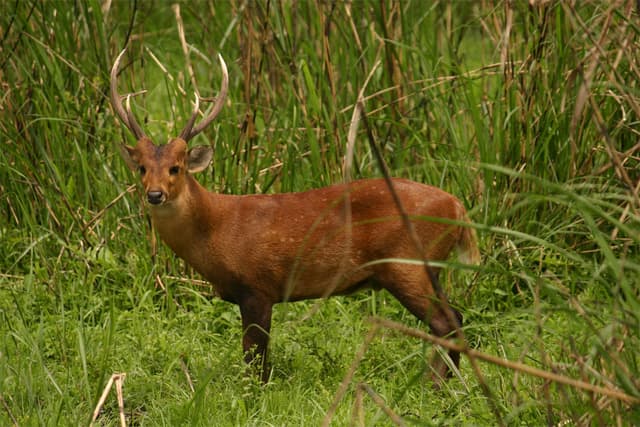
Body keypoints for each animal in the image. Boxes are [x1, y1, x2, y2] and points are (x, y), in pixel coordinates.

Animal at [110, 48, 480, 384]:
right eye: (142, 168)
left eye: (177, 167)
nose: (154, 194)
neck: (217, 229)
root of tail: (457, 206)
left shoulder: (257, 285)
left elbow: (255, 359)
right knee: (455, 318)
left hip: (408, 264)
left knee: (448, 322)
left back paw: (438, 386)